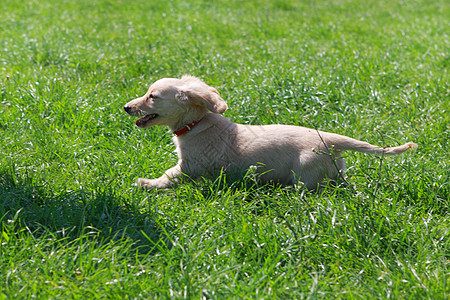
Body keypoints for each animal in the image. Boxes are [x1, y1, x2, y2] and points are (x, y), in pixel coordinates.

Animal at [124, 75, 418, 190]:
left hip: (305, 173)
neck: (197, 123)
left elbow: (167, 176)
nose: (126, 107)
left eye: (152, 96)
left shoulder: (189, 166)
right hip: (335, 172)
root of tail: (329, 139)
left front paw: (146, 183)